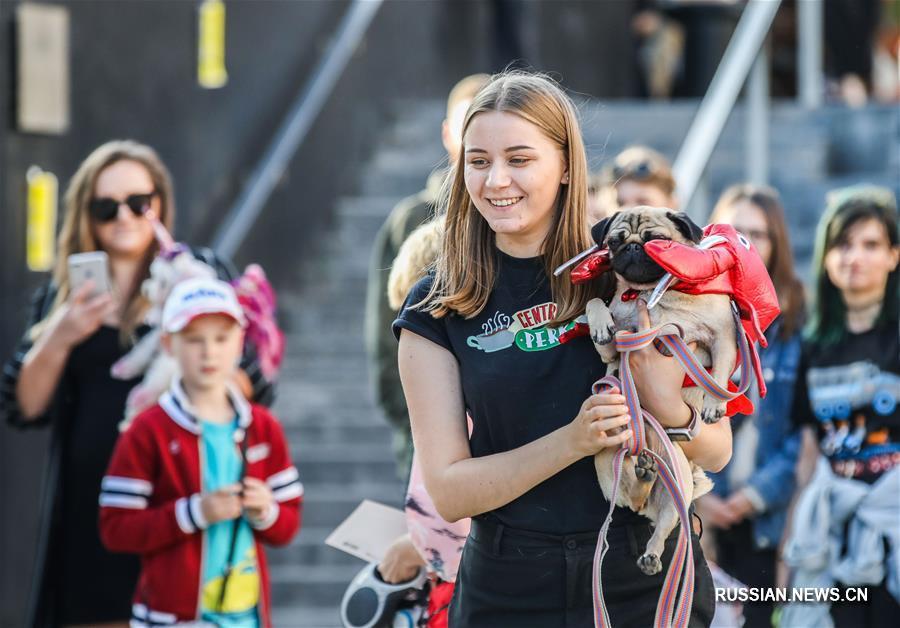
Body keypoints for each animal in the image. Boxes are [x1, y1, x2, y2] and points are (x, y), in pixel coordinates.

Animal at [584, 206, 732, 576]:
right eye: (615, 242)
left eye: (657, 241)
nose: (634, 248)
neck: (650, 295)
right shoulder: (614, 351)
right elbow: (596, 304)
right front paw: (600, 323)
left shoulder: (723, 336)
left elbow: (719, 375)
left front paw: (714, 403)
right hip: (607, 463)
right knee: (634, 498)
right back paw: (643, 474)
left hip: (677, 482)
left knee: (665, 524)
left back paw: (651, 554)